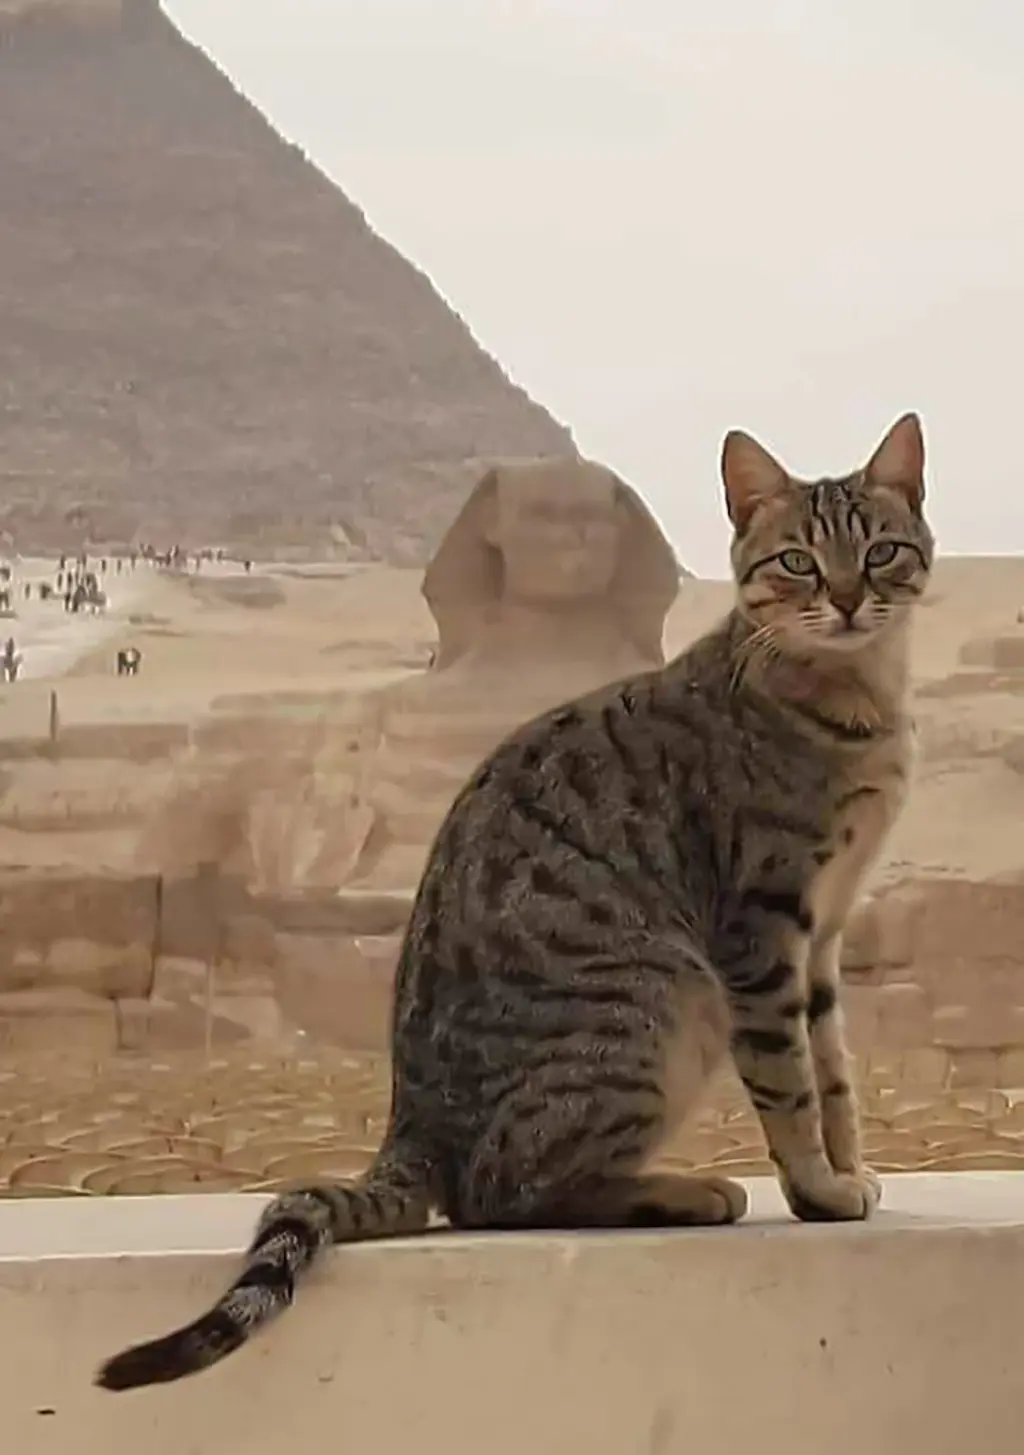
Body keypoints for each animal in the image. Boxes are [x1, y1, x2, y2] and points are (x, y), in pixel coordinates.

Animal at [98, 407, 936, 1385]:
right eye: (797, 560)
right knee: (499, 1190)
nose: (844, 599)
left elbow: (835, 1072)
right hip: (661, 996)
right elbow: (793, 1081)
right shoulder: (762, 930)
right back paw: (685, 1189)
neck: (854, 705)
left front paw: (849, 1170)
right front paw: (816, 1186)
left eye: (880, 551)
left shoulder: (825, 933)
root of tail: (409, 1129)